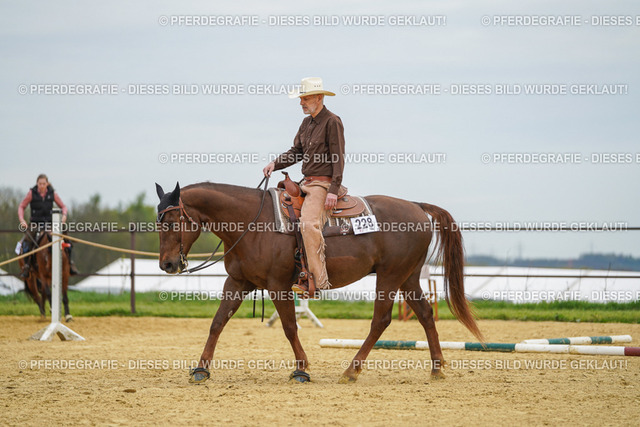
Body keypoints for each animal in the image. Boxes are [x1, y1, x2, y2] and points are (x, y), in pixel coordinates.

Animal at [155, 180, 483, 384]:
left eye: (172, 222)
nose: (167, 264)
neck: (251, 222)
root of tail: (417, 206)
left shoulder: (278, 285)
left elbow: (289, 327)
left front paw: (301, 370)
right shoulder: (237, 282)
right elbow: (217, 322)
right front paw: (201, 368)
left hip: (390, 276)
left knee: (381, 320)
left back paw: (351, 371)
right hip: (409, 277)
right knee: (426, 314)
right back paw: (437, 369)